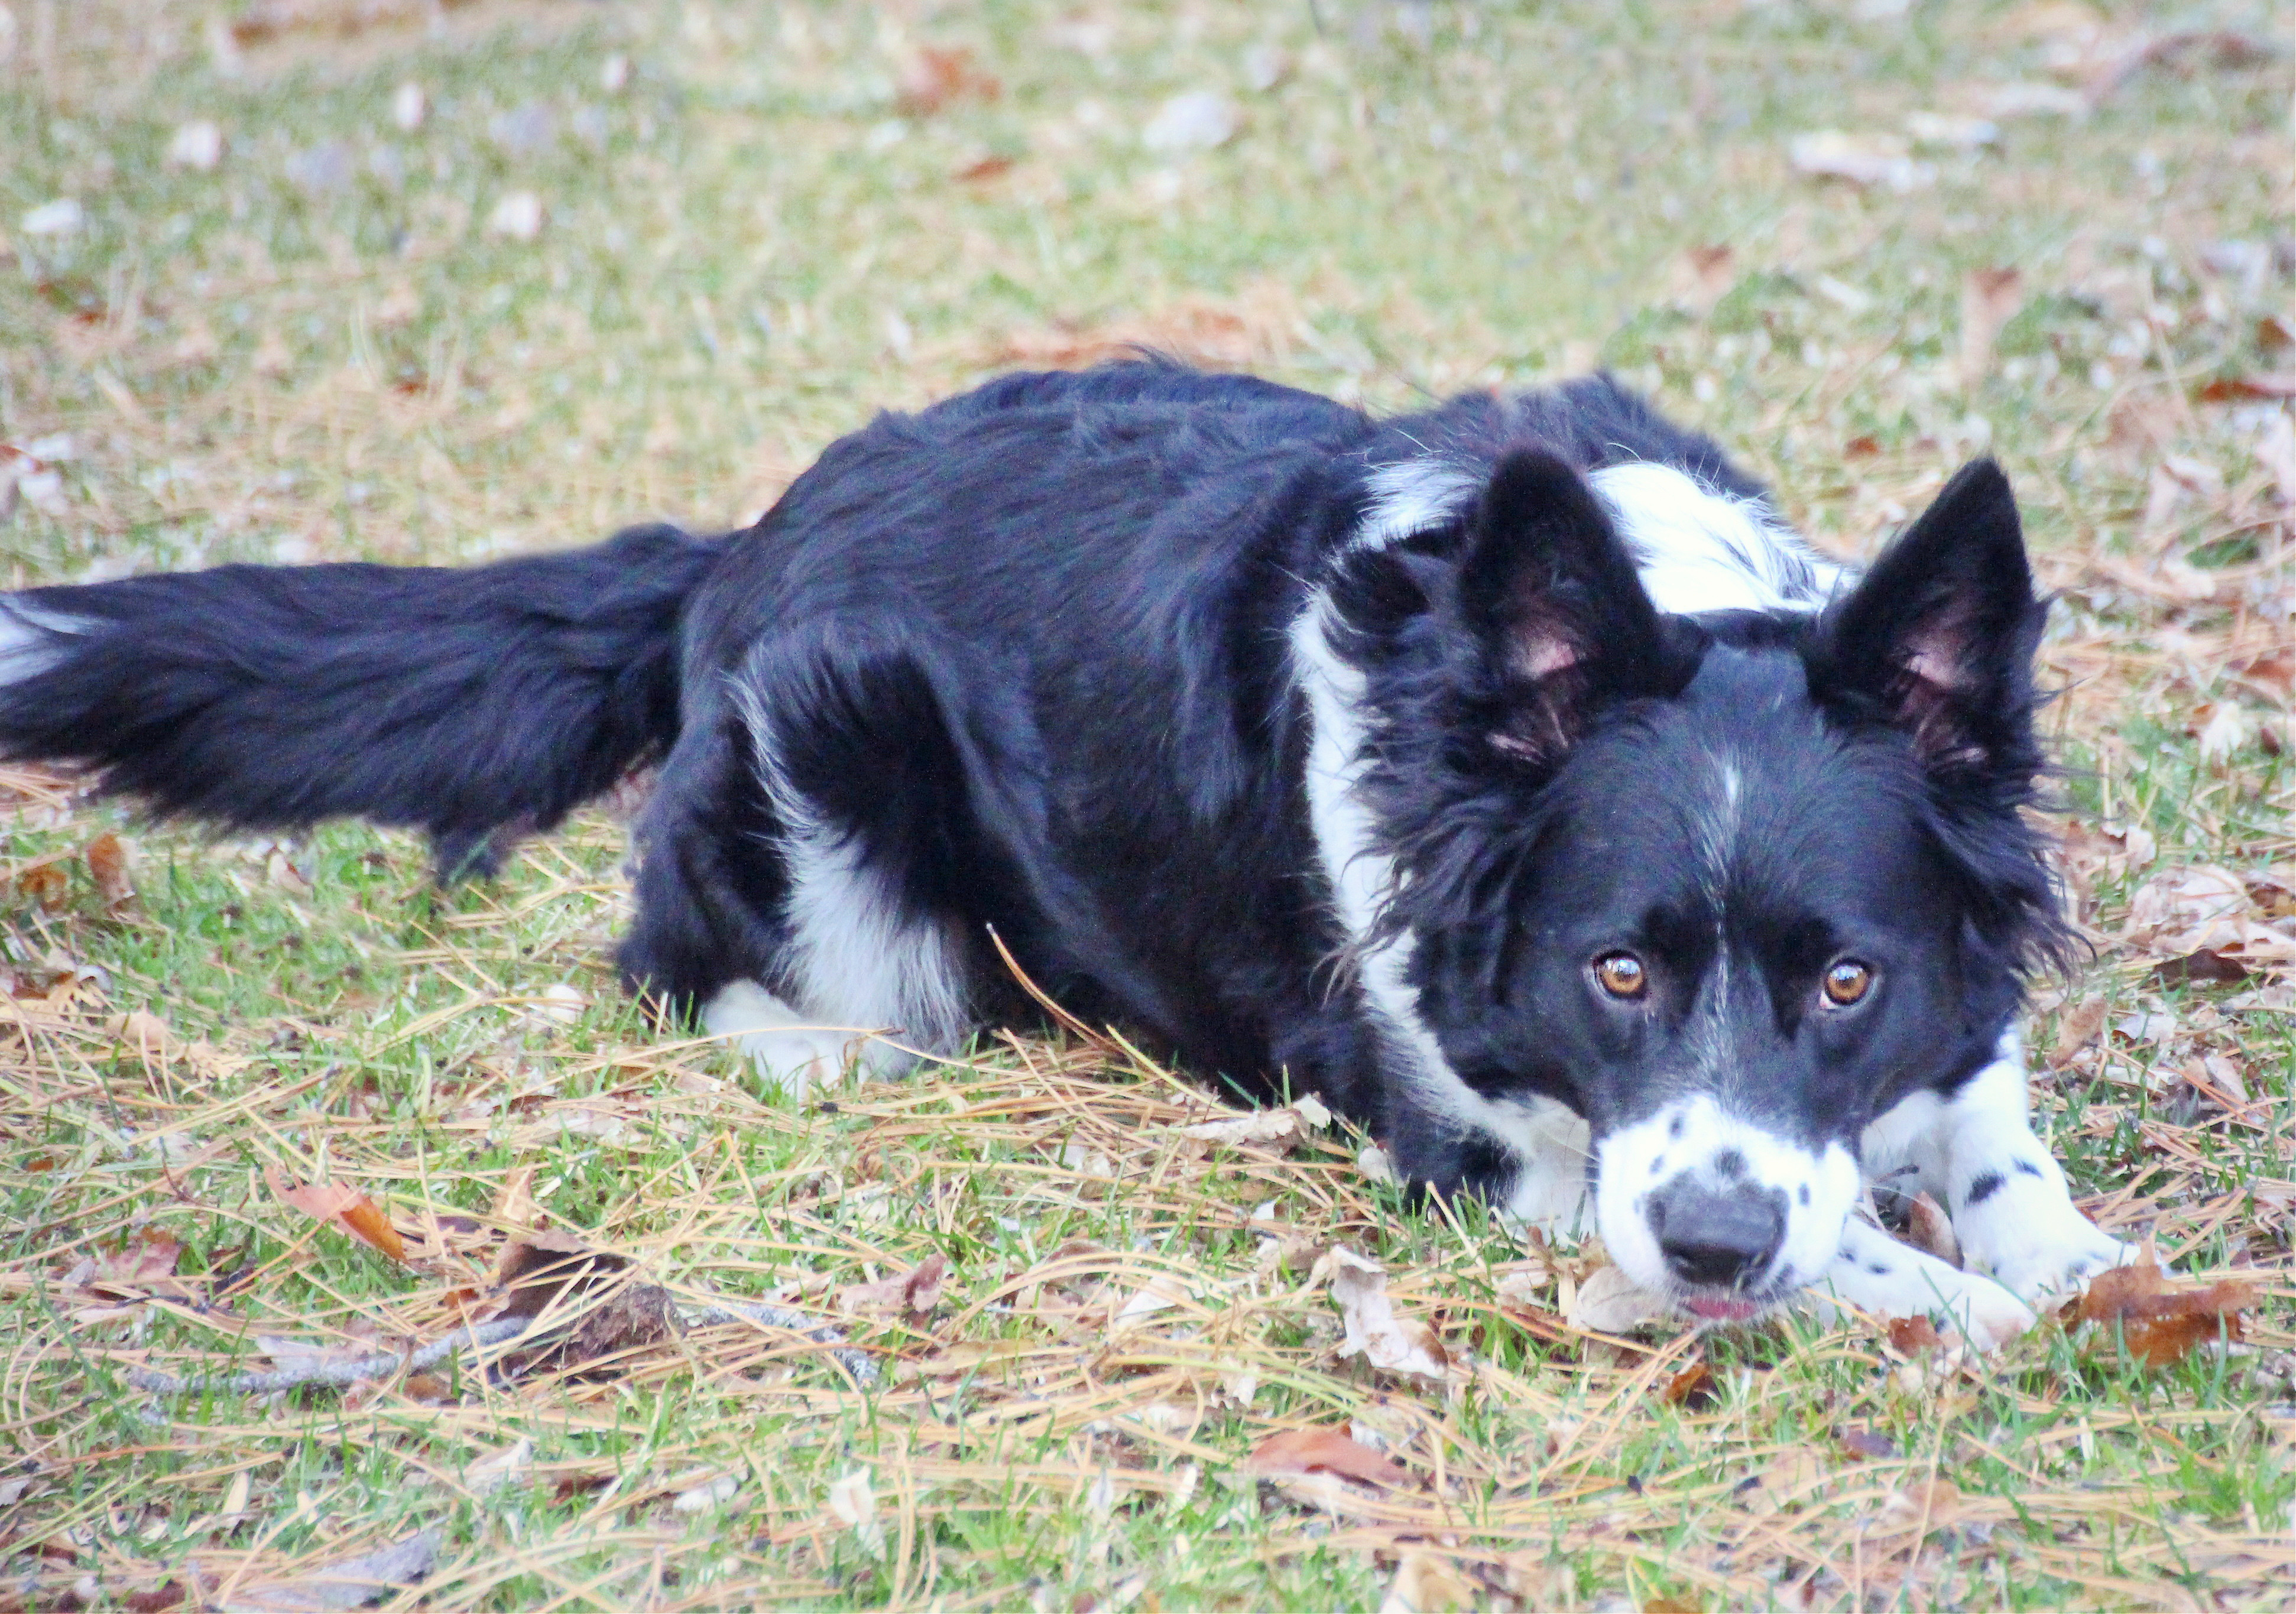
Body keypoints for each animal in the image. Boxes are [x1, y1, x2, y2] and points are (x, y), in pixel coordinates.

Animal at [0, 369, 2130, 1350]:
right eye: (1613, 972)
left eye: (1843, 977)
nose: (1707, 1251)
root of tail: (732, 545)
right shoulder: (1493, 1141)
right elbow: (1867, 1248)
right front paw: (1984, 1310)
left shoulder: (1936, 1002)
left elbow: (1987, 1133)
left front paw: (2083, 1262)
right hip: (832, 751)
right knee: (676, 964)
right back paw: (818, 1047)